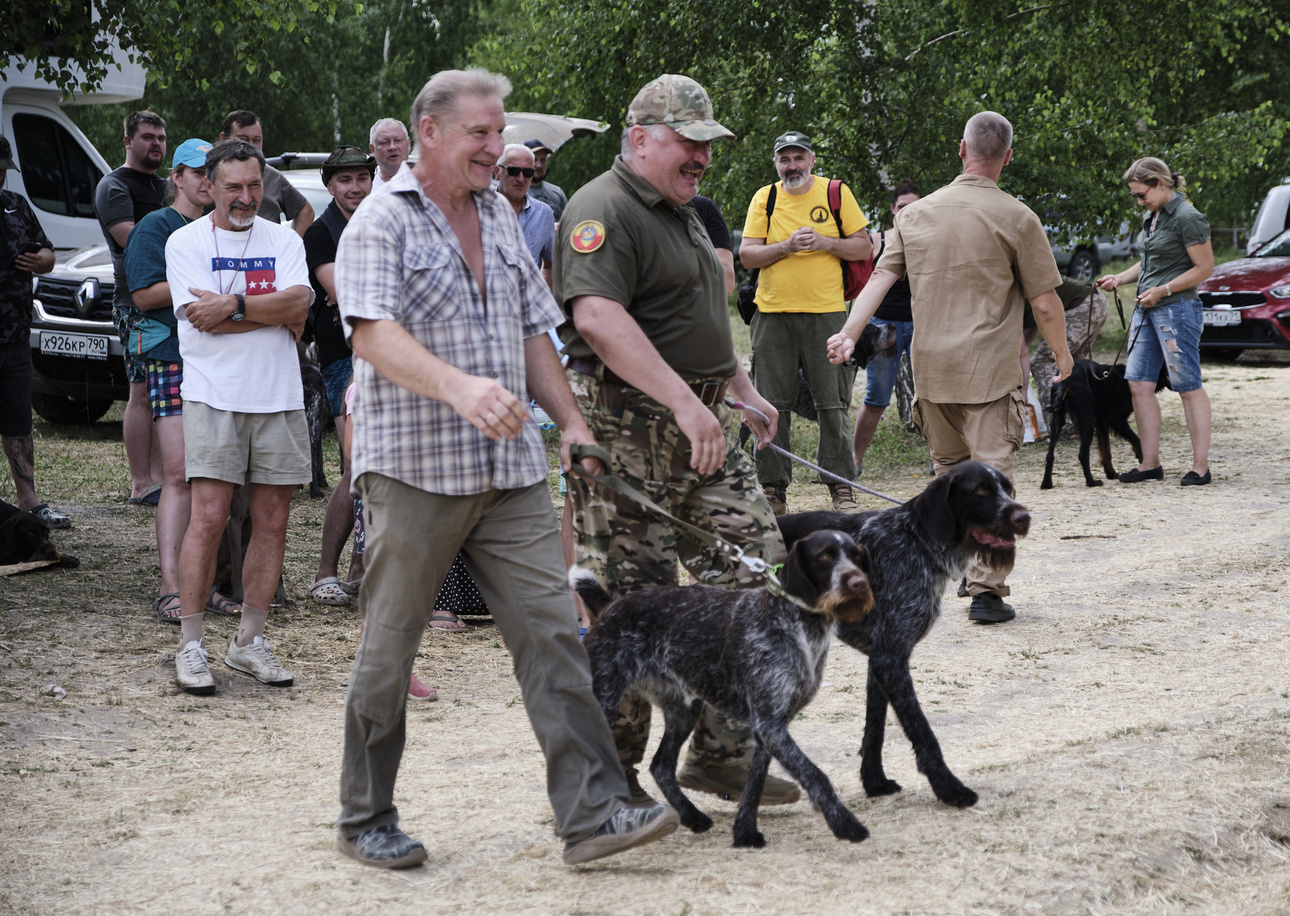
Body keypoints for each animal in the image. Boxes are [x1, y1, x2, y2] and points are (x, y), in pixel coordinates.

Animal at [575, 531, 877, 851]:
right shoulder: (769, 726)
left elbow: (754, 784)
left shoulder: (770, 727)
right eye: (825, 556)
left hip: (684, 709)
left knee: (661, 766)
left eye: (857, 556)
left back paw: (692, 816)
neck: (801, 625)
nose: (859, 583)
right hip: (605, 700)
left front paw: (744, 832)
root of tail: (609, 606)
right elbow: (815, 775)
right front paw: (846, 824)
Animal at [768, 461, 1032, 815]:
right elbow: (922, 732)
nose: (1024, 517)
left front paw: (874, 781)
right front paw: (949, 788)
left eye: (1007, 488)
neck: (917, 540)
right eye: (981, 490)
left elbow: (875, 729)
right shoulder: (891, 659)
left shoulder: (880, 658)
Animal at [1037, 358, 1171, 492]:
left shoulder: (1102, 424)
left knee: (1050, 455)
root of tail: (1066, 380)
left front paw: (1111, 473)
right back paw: (1092, 482)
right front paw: (1145, 465)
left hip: (1057, 419)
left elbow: (1106, 451)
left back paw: (1046, 483)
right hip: (1087, 420)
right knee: (1082, 454)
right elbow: (1137, 441)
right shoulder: (1115, 418)